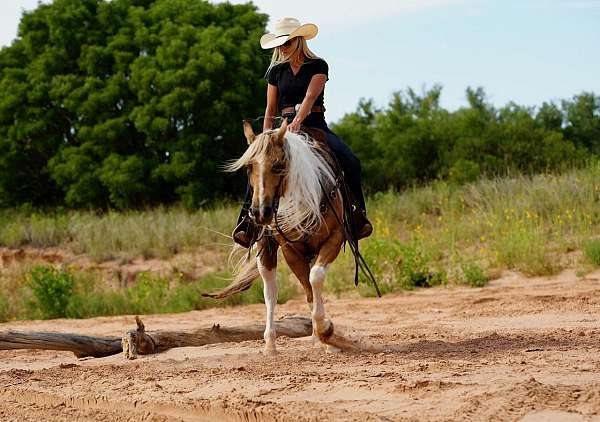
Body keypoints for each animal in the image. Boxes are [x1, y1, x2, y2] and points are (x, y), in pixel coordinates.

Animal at [206, 120, 346, 354]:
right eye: (249, 167)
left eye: (279, 165)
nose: (261, 212)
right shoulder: (291, 250)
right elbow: (307, 289)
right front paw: (324, 331)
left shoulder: (335, 238)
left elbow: (315, 277)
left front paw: (323, 332)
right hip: (266, 250)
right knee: (270, 291)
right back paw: (270, 344)